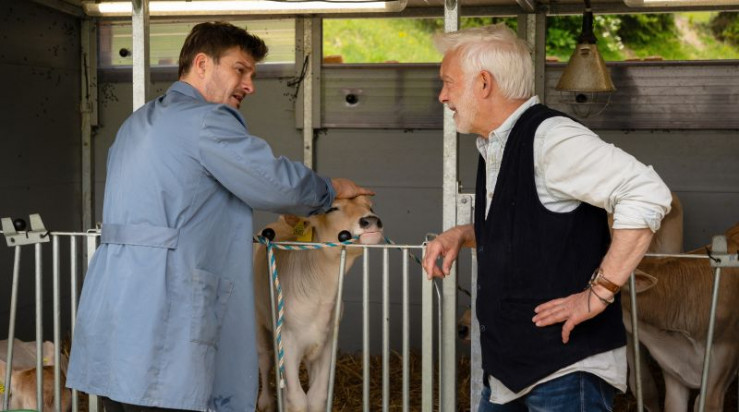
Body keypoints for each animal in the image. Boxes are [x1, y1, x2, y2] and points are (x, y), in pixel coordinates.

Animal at [253, 195, 383, 412]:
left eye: (370, 207)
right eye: (332, 208)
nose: (371, 220)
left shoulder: (327, 343)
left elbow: (316, 397)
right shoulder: (288, 342)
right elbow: (298, 399)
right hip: (259, 320)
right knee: (264, 359)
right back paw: (266, 401)